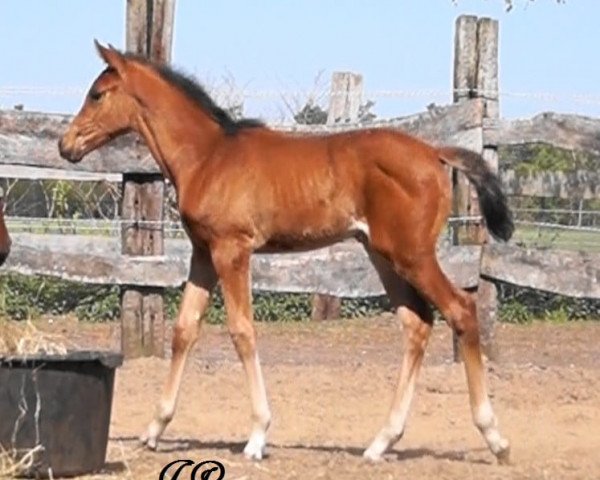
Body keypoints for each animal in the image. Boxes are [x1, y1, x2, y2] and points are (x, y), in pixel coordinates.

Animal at [59, 43, 510, 464]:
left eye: (97, 94)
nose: (66, 145)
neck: (207, 157)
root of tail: (436, 153)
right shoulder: (203, 253)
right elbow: (184, 329)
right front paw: (154, 429)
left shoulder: (233, 250)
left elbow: (242, 331)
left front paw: (257, 436)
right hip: (383, 254)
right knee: (417, 323)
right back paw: (380, 443)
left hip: (412, 255)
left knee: (461, 310)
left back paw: (495, 437)